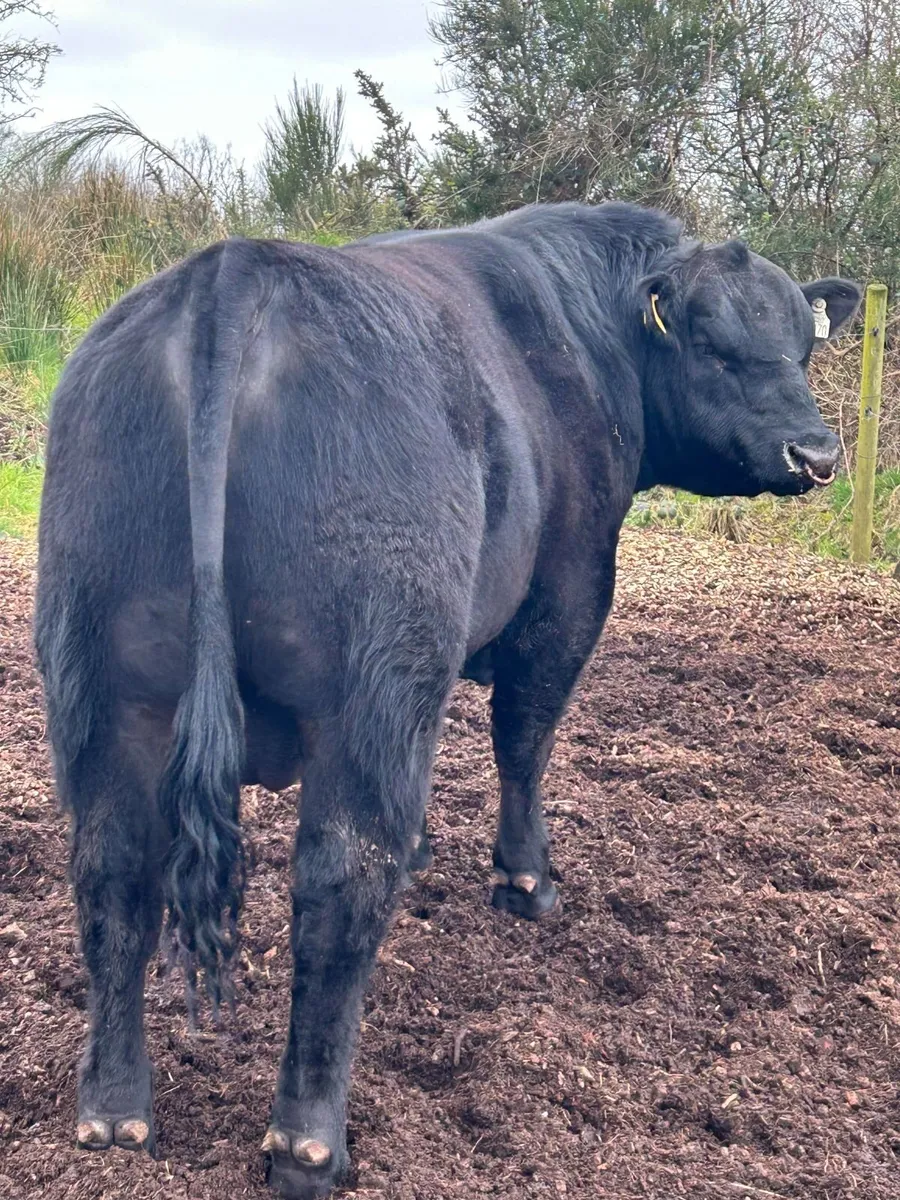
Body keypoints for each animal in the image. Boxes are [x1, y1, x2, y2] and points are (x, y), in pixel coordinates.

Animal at [34, 200, 861, 1198]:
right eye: (710, 342)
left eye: (803, 346)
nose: (816, 452)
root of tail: (231, 277)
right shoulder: (570, 587)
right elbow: (524, 736)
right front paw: (527, 880)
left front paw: (436, 848)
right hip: (371, 675)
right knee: (340, 881)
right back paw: (308, 1145)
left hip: (102, 685)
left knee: (115, 870)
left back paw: (114, 1113)